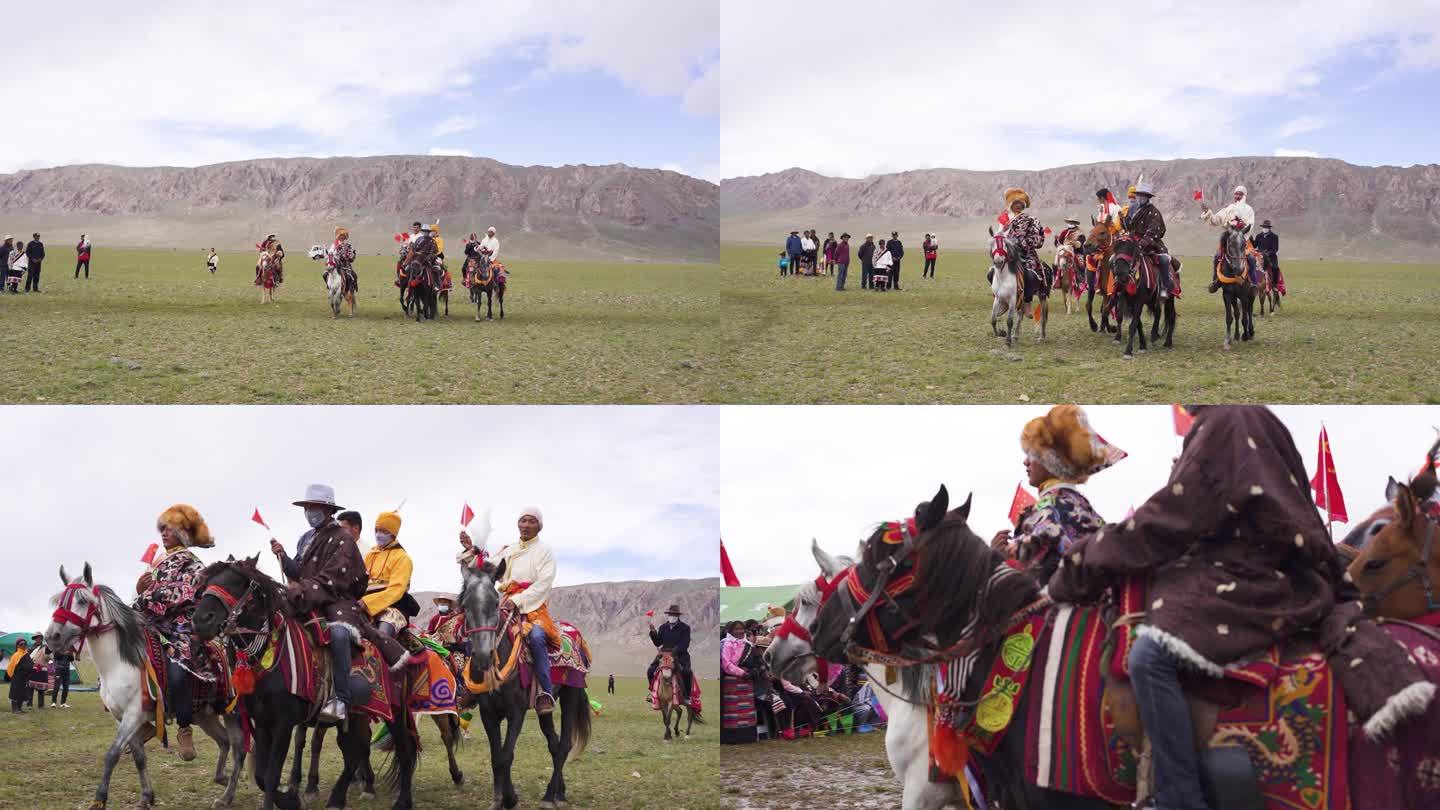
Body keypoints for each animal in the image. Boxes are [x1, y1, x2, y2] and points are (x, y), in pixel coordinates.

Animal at [41, 562, 244, 807]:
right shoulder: (121, 716)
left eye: (82, 601)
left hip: (233, 711)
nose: (52, 637)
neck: (117, 664)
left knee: (239, 750)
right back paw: (221, 778)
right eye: (60, 601)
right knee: (224, 741)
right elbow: (139, 756)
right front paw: (147, 796)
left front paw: (99, 799)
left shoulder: (133, 714)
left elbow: (112, 754)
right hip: (205, 715)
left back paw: (227, 796)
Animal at [191, 553, 420, 807]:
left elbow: (271, 775)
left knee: (404, 751)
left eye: (238, 582)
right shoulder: (261, 721)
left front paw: (286, 798)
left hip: (395, 712)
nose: (200, 621)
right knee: (355, 751)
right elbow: (261, 774)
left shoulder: (283, 723)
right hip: (356, 715)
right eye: (208, 583)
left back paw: (402, 801)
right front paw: (291, 798)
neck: (270, 659)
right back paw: (338, 798)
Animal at [457, 553, 587, 807]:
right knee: (554, 743)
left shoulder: (516, 711)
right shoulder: (489, 713)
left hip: (571, 695)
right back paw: (557, 792)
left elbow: (506, 756)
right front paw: (503, 799)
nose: (483, 656)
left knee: (564, 744)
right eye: (466, 605)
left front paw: (508, 799)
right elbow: (496, 756)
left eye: (495, 603)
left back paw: (551, 796)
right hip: (544, 706)